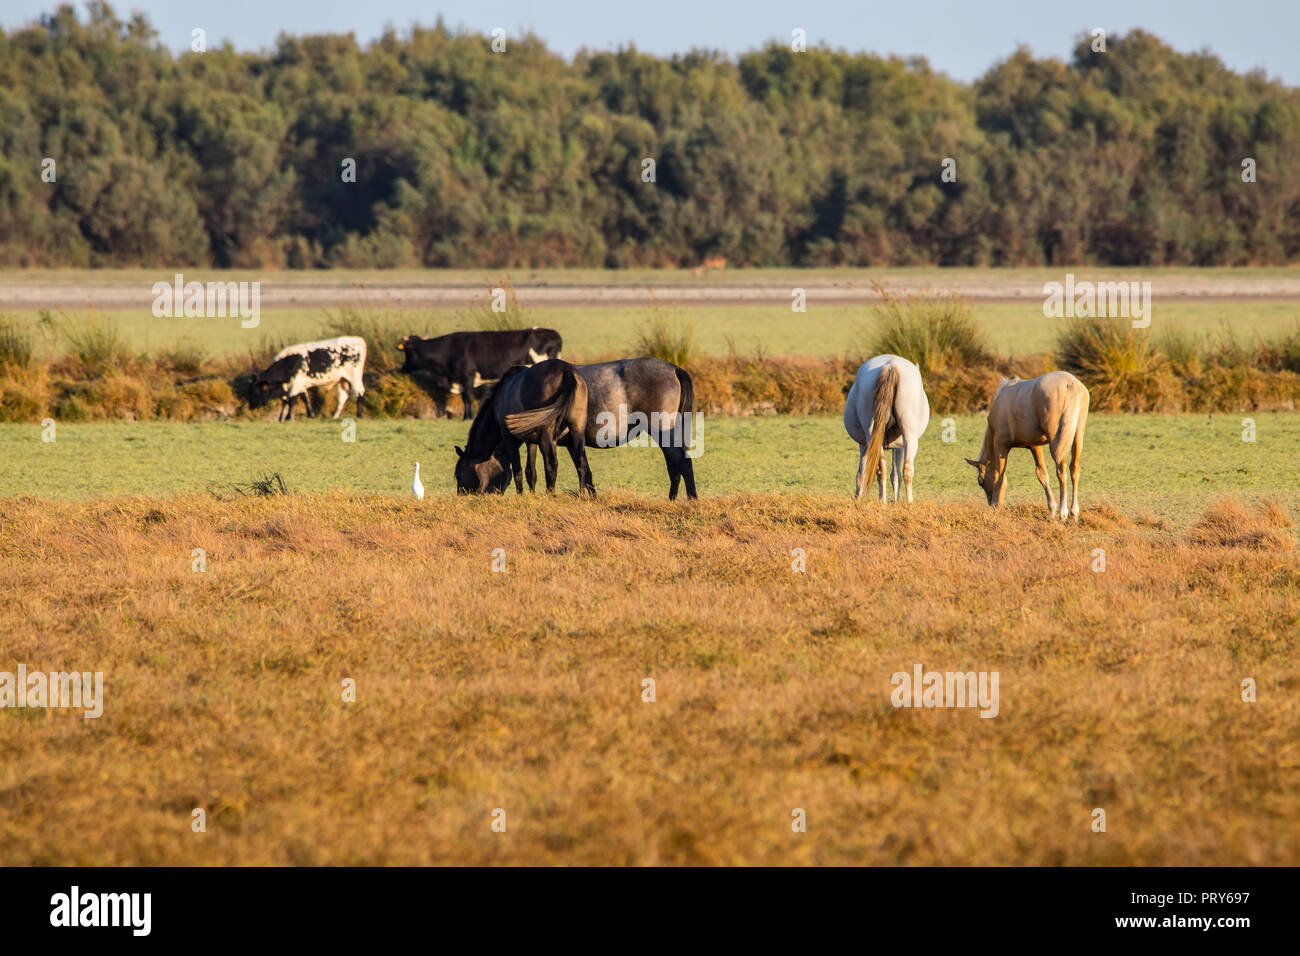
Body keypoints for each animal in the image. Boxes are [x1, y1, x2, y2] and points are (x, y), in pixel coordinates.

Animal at [454, 360, 593, 495]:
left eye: (458, 475)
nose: (460, 496)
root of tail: (566, 371)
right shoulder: (531, 441)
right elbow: (530, 472)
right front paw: (531, 495)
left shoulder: (509, 438)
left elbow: (518, 470)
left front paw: (520, 495)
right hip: (577, 429)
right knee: (582, 463)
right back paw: (581, 494)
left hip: (546, 435)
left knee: (551, 464)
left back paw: (550, 495)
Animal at [513, 357, 699, 500]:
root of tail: (673, 368)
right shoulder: (571, 443)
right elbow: (585, 471)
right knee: (675, 464)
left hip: (661, 432)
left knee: (681, 462)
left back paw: (689, 499)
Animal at [843, 354, 931, 502]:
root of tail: (891, 366)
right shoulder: (899, 446)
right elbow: (895, 474)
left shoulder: (865, 445)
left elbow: (862, 471)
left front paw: (858, 497)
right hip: (909, 438)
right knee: (905, 469)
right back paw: (907, 502)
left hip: (874, 437)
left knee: (882, 469)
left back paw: (883, 501)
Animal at [964, 371, 1090, 520]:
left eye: (981, 481)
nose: (991, 505)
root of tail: (1070, 383)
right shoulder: (1035, 446)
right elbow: (1042, 474)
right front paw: (1051, 509)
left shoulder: (1001, 446)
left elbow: (999, 478)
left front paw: (997, 509)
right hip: (1077, 436)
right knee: (1074, 469)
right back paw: (1073, 512)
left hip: (1056, 440)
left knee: (1061, 470)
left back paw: (1063, 512)